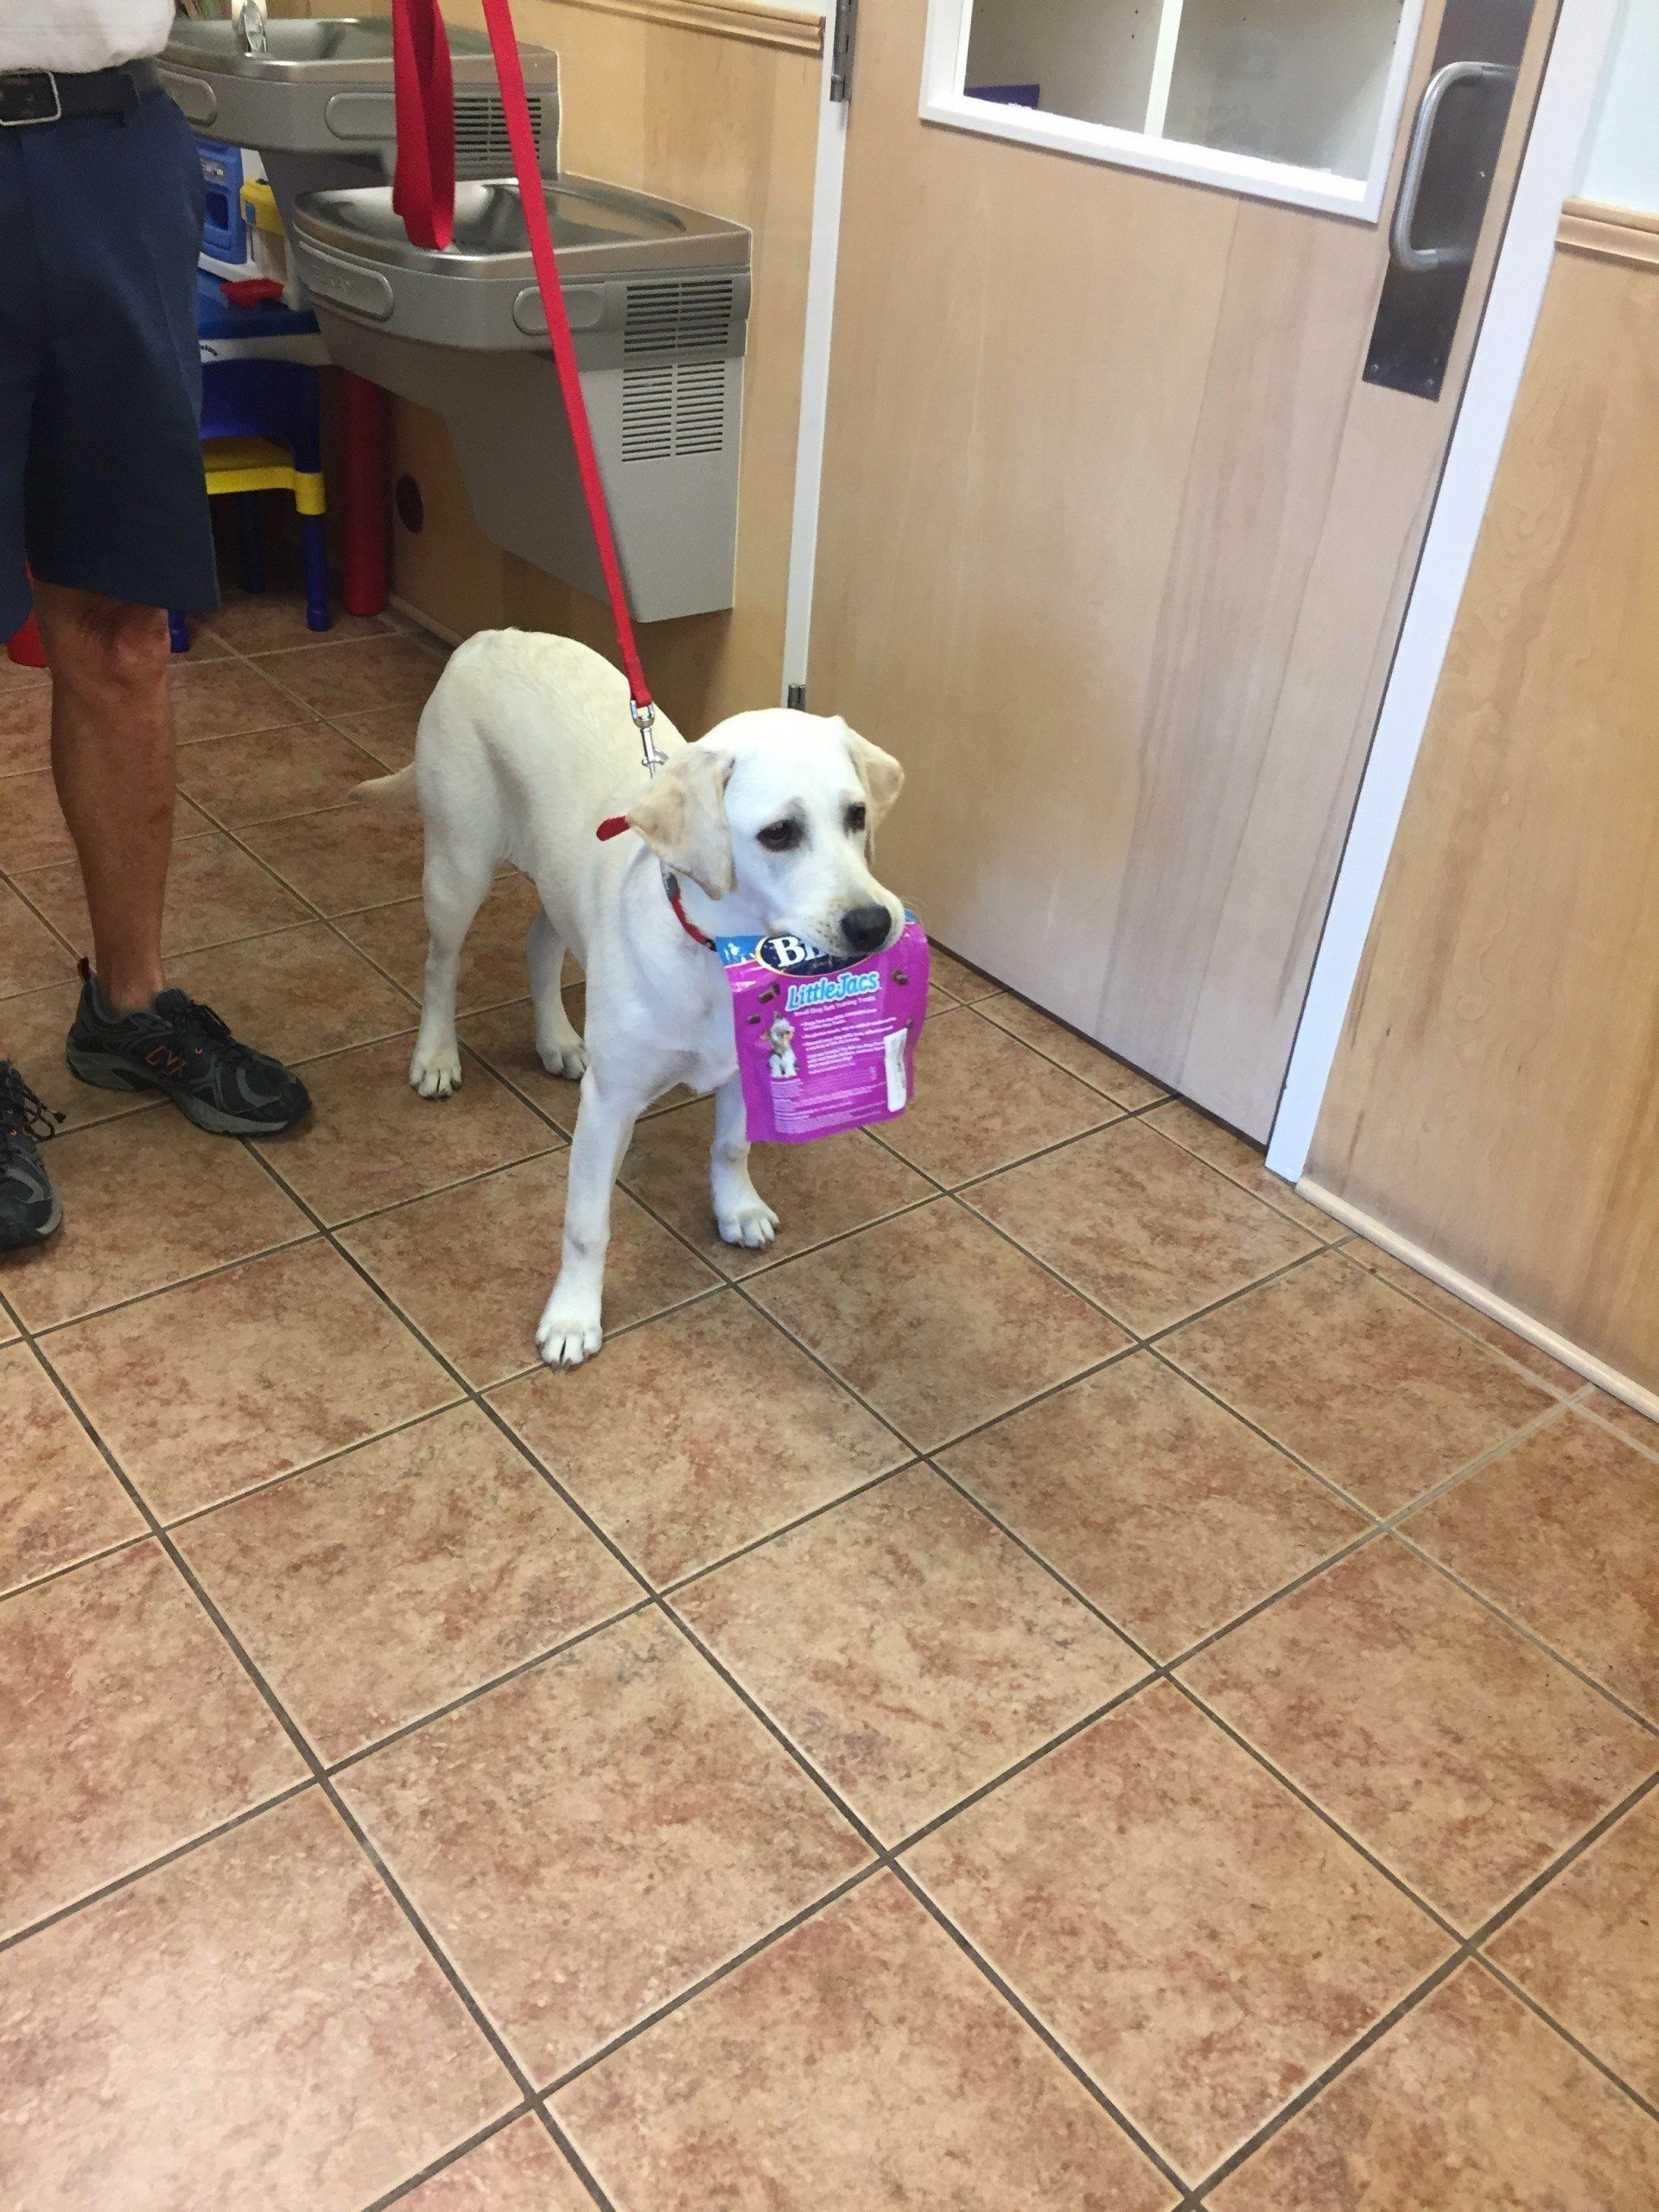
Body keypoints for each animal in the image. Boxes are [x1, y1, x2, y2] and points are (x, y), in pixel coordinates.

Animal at [358, 628, 911, 1362]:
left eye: (856, 816)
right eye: (778, 834)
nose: (874, 924)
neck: (714, 956)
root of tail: (488, 637)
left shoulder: (749, 1061)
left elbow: (732, 1147)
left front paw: (737, 1209)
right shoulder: (609, 1105)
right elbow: (586, 1224)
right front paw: (572, 1319)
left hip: (555, 883)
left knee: (540, 942)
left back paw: (559, 1041)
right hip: (457, 867)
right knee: (440, 965)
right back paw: (437, 1057)